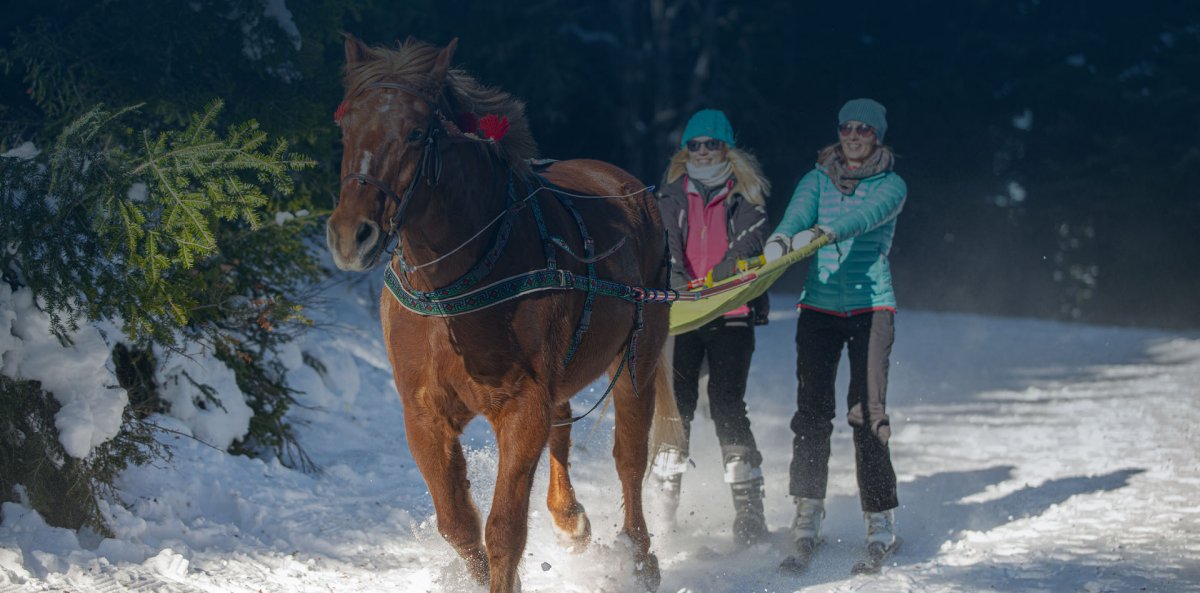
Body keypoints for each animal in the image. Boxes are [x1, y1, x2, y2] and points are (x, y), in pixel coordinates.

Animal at [328, 34, 681, 590]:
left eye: (415, 132)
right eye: (346, 127)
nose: (350, 235)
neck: (453, 288)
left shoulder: (521, 407)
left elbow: (504, 529)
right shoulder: (423, 414)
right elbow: (458, 526)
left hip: (637, 359)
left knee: (629, 457)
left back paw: (641, 557)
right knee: (564, 427)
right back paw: (570, 518)